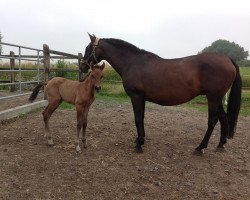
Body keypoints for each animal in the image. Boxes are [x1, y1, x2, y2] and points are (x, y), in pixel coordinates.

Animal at [81, 33, 241, 154]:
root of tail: (227, 59)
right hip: (216, 98)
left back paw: (200, 147)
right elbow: (142, 118)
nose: (82, 66)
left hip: (213, 98)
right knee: (223, 118)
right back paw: (220, 145)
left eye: (88, 48)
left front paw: (139, 145)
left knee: (212, 121)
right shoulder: (142, 98)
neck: (132, 63)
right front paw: (140, 139)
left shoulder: (136, 96)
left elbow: (137, 119)